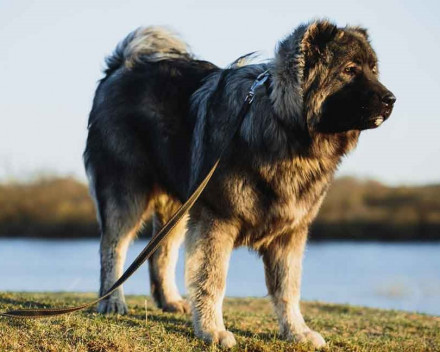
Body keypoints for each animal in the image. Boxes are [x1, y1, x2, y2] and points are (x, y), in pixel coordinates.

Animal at [82, 20, 396, 348]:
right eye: (350, 70)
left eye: (374, 70)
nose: (391, 99)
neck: (285, 131)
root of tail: (120, 65)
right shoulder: (216, 219)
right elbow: (212, 279)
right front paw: (212, 330)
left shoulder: (290, 233)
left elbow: (288, 288)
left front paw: (296, 331)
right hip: (126, 191)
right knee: (112, 247)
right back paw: (112, 301)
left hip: (179, 206)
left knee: (161, 252)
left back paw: (169, 301)